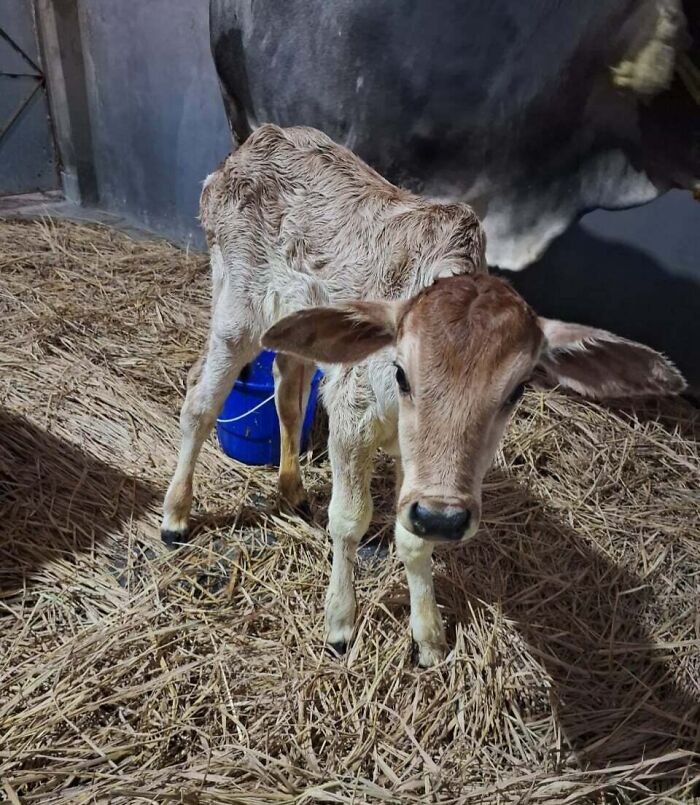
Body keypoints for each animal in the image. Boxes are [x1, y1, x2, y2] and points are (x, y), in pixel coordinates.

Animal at [161, 124, 685, 665]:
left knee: (288, 390)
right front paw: (339, 625)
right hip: (235, 307)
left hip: (293, 321)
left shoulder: (419, 473)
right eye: (401, 373)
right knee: (198, 400)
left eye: (518, 390)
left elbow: (411, 537)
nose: (443, 516)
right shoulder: (350, 414)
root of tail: (255, 141)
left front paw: (429, 637)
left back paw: (293, 490)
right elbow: (349, 519)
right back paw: (176, 516)